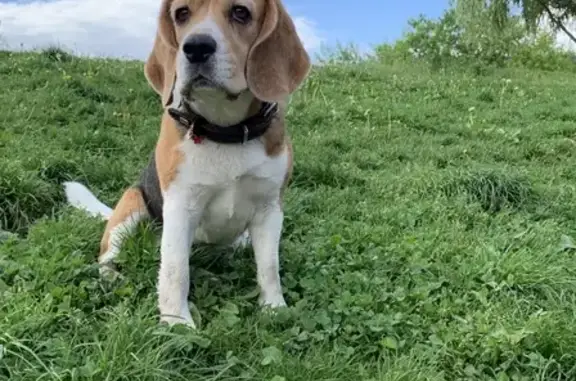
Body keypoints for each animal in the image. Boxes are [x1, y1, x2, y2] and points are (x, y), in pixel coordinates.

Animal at [64, 0, 310, 326]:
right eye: (181, 14)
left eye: (241, 12)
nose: (196, 48)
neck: (225, 129)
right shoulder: (181, 206)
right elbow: (175, 270)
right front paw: (176, 323)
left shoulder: (269, 208)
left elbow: (269, 267)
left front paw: (274, 308)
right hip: (131, 206)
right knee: (108, 253)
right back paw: (111, 275)